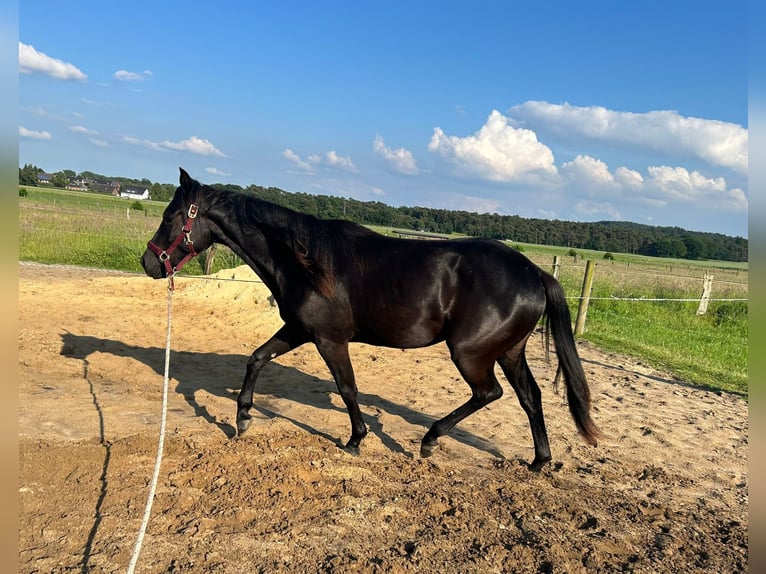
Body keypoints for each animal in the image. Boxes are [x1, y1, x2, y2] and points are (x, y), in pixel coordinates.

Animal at [142, 168, 600, 472]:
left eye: (170, 217)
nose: (149, 262)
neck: (303, 260)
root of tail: (534, 273)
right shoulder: (299, 330)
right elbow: (257, 358)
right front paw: (242, 419)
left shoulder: (329, 339)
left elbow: (348, 388)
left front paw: (355, 440)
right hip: (508, 351)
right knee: (530, 397)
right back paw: (538, 462)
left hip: (470, 353)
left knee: (490, 393)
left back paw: (430, 441)